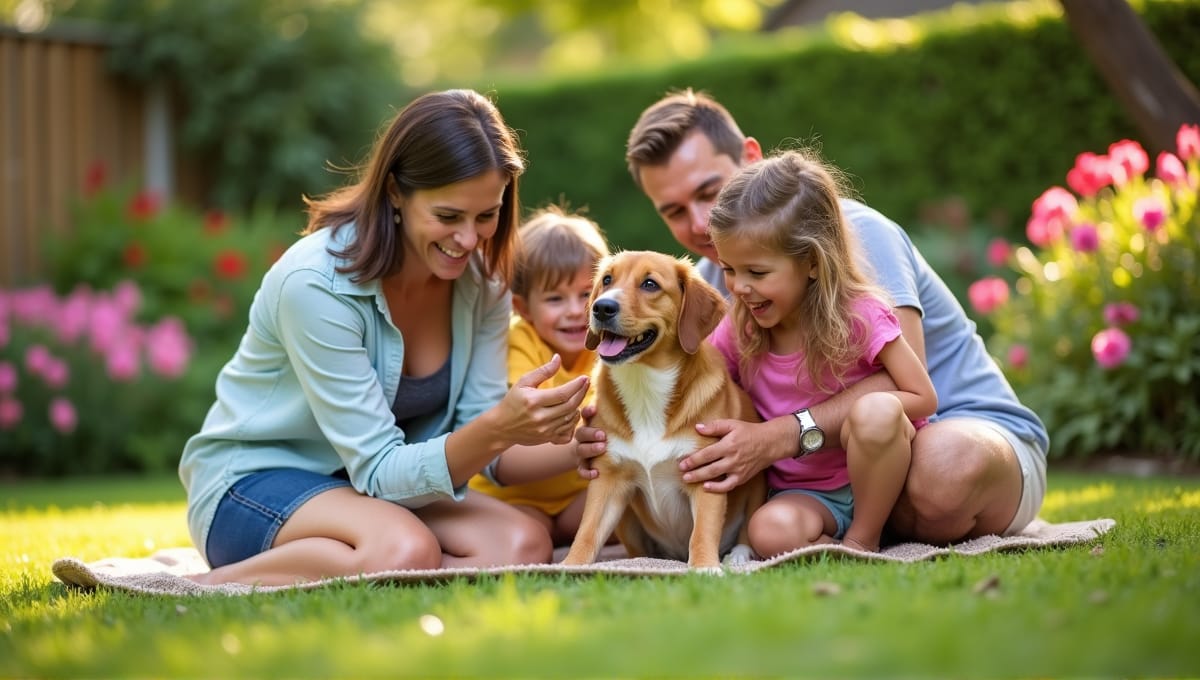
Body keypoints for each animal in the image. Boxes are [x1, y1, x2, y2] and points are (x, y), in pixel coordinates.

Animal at [564, 250, 768, 568]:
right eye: (607, 280)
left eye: (650, 284)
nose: (602, 307)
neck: (645, 386)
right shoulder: (607, 479)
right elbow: (586, 534)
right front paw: (567, 567)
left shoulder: (705, 475)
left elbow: (702, 533)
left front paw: (705, 568)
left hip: (756, 486)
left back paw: (737, 557)